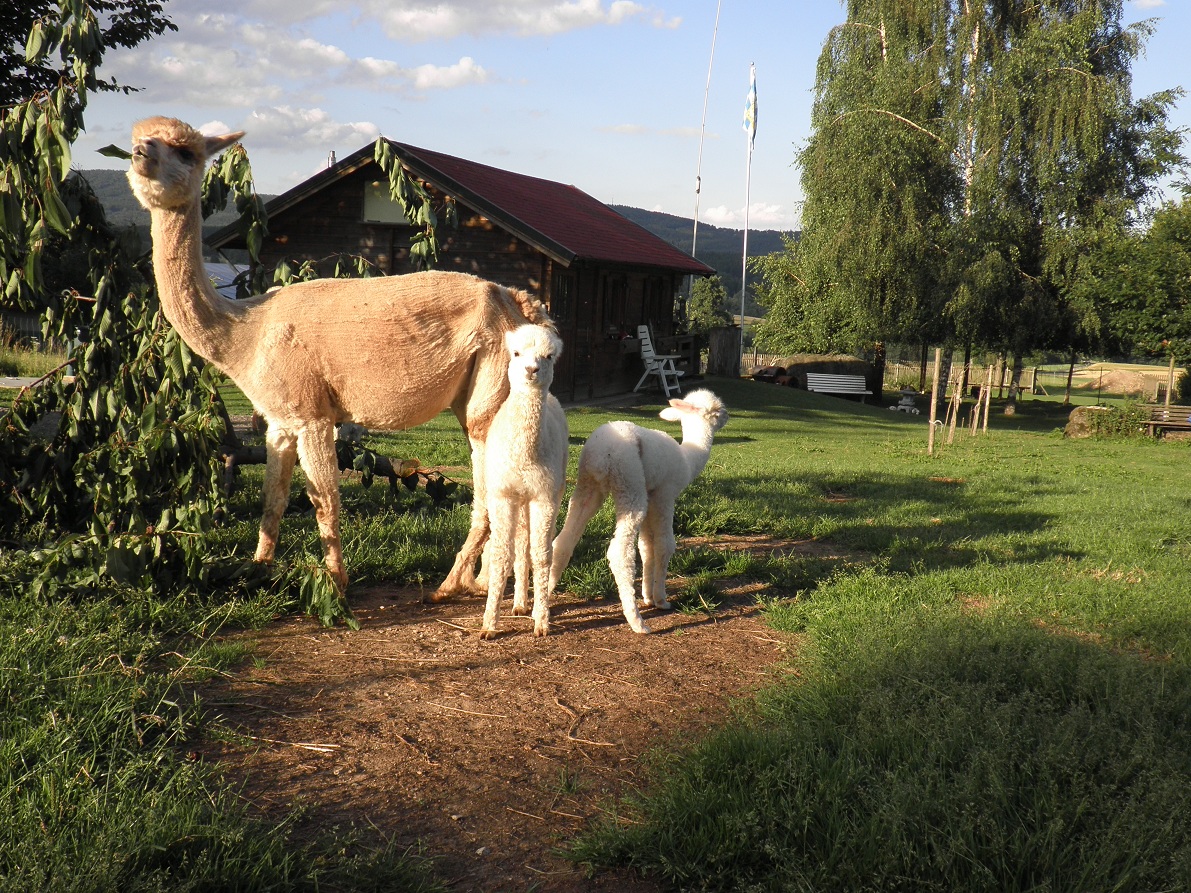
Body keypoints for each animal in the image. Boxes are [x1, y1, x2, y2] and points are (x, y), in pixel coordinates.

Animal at [126, 116, 553, 599]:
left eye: (186, 152)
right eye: (136, 139)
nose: (141, 153)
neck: (247, 331)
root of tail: (514, 301)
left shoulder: (313, 414)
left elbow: (324, 499)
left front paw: (335, 584)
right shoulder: (280, 420)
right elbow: (273, 499)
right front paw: (256, 569)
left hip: (488, 394)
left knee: (487, 491)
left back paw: (451, 583)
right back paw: (482, 582)